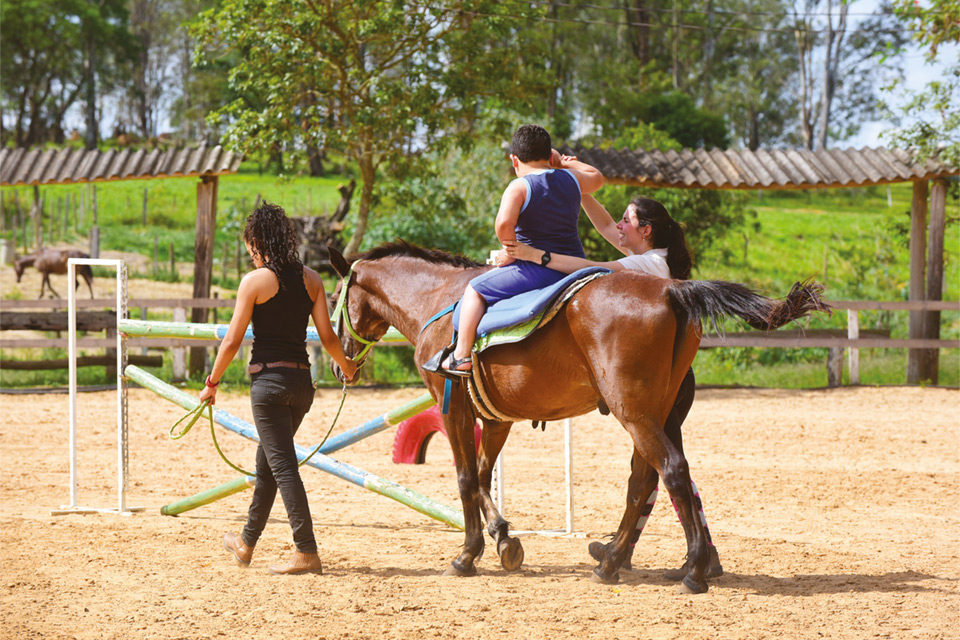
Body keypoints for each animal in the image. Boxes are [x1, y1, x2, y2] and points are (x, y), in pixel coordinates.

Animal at [326, 241, 828, 596]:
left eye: (333, 297)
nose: (339, 365)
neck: (440, 300)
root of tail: (672, 289)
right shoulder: (497, 419)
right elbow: (486, 476)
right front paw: (504, 539)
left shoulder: (452, 409)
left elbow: (467, 478)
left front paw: (467, 555)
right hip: (656, 415)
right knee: (645, 482)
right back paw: (616, 562)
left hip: (636, 415)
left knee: (671, 472)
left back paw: (690, 571)